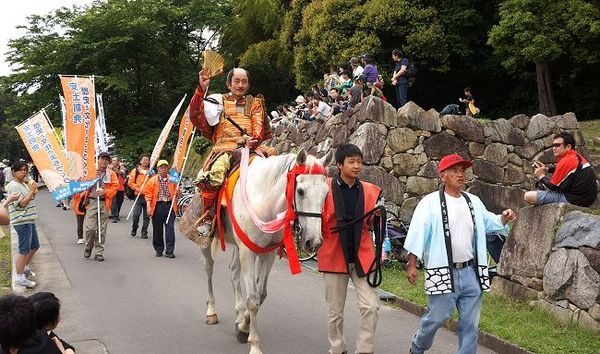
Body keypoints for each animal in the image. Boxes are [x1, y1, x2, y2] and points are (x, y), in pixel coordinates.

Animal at [200, 149, 332, 354]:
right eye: (301, 191)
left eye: (326, 194)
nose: (315, 241)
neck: (264, 202)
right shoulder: (248, 252)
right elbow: (253, 300)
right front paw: (253, 343)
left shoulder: (267, 253)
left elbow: (261, 295)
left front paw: (243, 326)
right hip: (208, 238)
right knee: (209, 268)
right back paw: (211, 311)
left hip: (237, 246)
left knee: (233, 272)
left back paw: (238, 314)